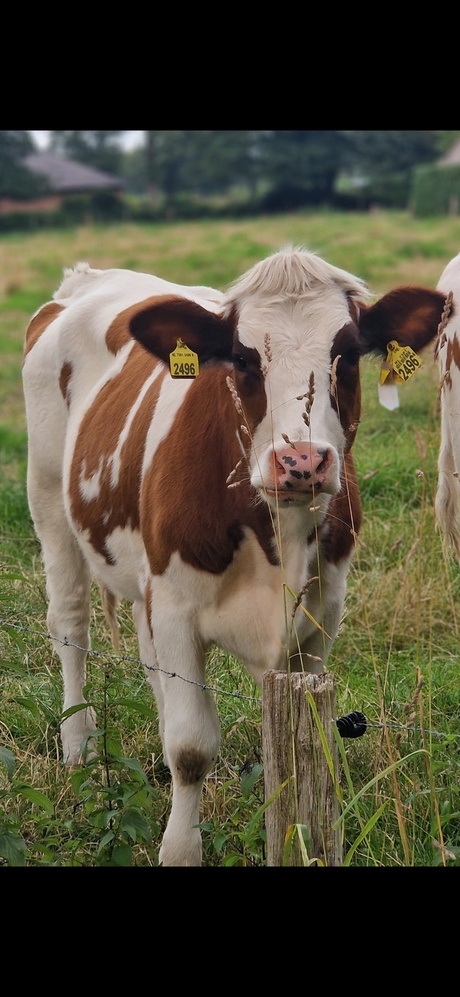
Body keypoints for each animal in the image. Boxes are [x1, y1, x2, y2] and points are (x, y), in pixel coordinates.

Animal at [22, 251, 446, 864]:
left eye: (345, 354)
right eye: (244, 359)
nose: (301, 462)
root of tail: (85, 279)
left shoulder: (321, 616)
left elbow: (301, 742)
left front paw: (301, 834)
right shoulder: (176, 608)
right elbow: (192, 748)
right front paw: (180, 849)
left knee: (148, 657)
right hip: (49, 500)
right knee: (71, 625)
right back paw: (77, 744)